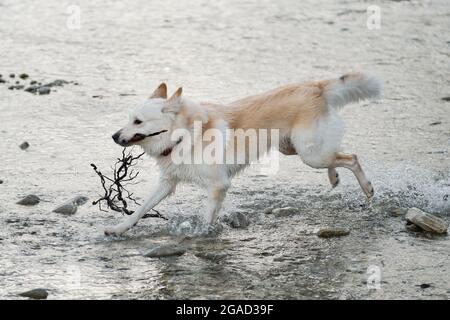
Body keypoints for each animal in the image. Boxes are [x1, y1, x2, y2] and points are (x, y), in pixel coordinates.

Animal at [104, 74, 380, 236]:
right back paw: (334, 178)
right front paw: (119, 228)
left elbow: (207, 216)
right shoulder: (167, 183)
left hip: (310, 154)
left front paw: (202, 234)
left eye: (138, 122)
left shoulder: (218, 185)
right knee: (336, 154)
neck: (184, 135)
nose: (114, 136)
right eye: (129, 119)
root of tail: (316, 87)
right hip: (294, 149)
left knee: (351, 157)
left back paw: (367, 188)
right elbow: (141, 209)